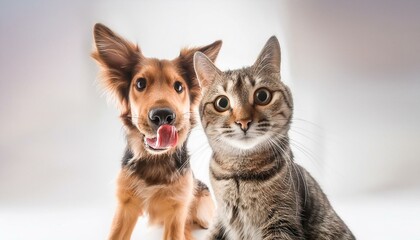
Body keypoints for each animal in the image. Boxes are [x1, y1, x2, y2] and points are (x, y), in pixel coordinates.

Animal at [92, 23, 223, 240]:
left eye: (178, 86)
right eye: (140, 83)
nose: (163, 116)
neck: (155, 162)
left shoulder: (177, 207)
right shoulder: (125, 204)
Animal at [194, 36, 354, 240]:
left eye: (262, 95)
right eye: (222, 103)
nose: (243, 121)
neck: (240, 174)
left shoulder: (282, 224)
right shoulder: (220, 219)